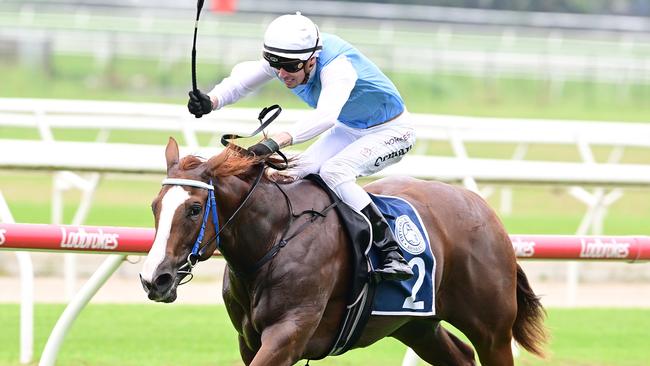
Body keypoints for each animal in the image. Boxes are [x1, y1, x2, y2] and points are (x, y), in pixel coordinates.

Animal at [139, 138, 544, 366]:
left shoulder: (289, 333)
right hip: (416, 325)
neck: (275, 237)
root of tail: (482, 208)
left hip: (492, 329)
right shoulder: (248, 340)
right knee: (459, 356)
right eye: (155, 206)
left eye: (194, 209)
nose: (153, 279)